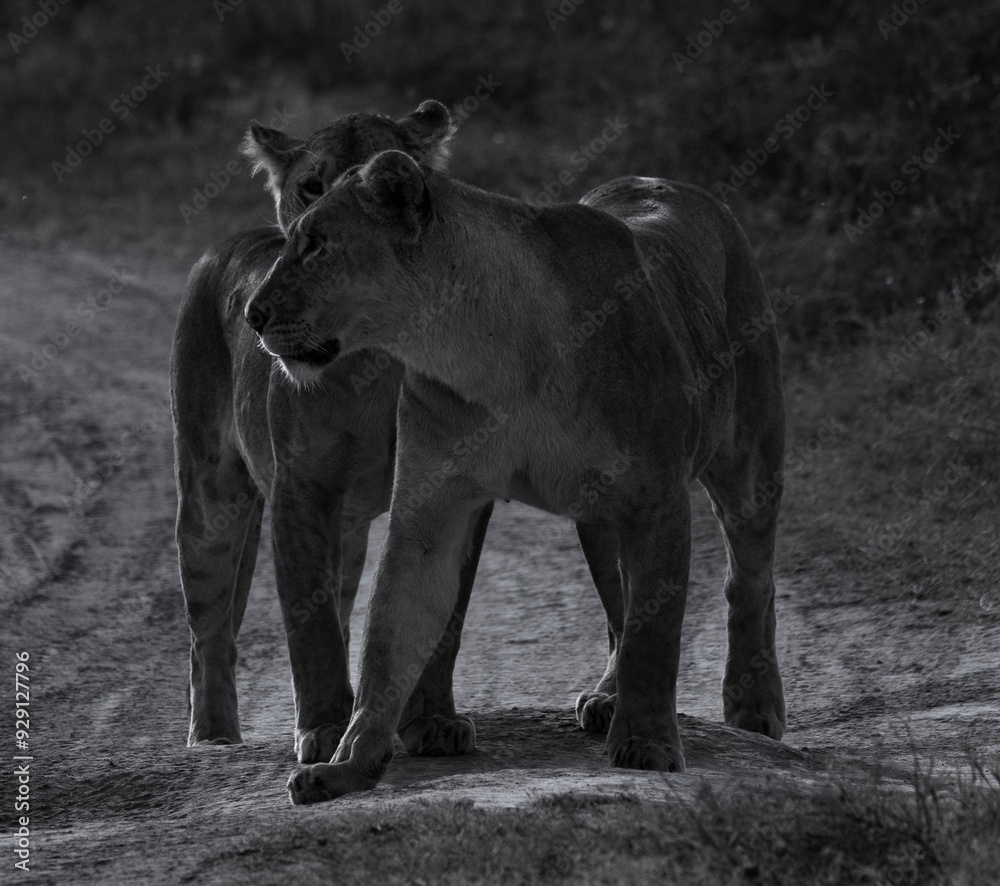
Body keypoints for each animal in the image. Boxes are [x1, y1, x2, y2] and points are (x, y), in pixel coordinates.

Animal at [171, 102, 625, 765]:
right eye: (311, 187)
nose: (259, 312)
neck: (381, 358)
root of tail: (226, 246)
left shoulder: (457, 485)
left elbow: (444, 615)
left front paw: (430, 721)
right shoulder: (299, 488)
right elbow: (307, 624)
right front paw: (325, 730)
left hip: (347, 529)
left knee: (334, 600)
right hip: (210, 497)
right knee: (210, 634)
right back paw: (212, 738)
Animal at [244, 150, 788, 804]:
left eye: (317, 244)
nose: (252, 314)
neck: (480, 347)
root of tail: (679, 185)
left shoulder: (656, 495)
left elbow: (657, 630)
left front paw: (650, 745)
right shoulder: (432, 509)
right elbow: (390, 634)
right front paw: (347, 763)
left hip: (748, 460)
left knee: (748, 579)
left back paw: (756, 707)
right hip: (598, 520)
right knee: (620, 605)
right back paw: (608, 698)